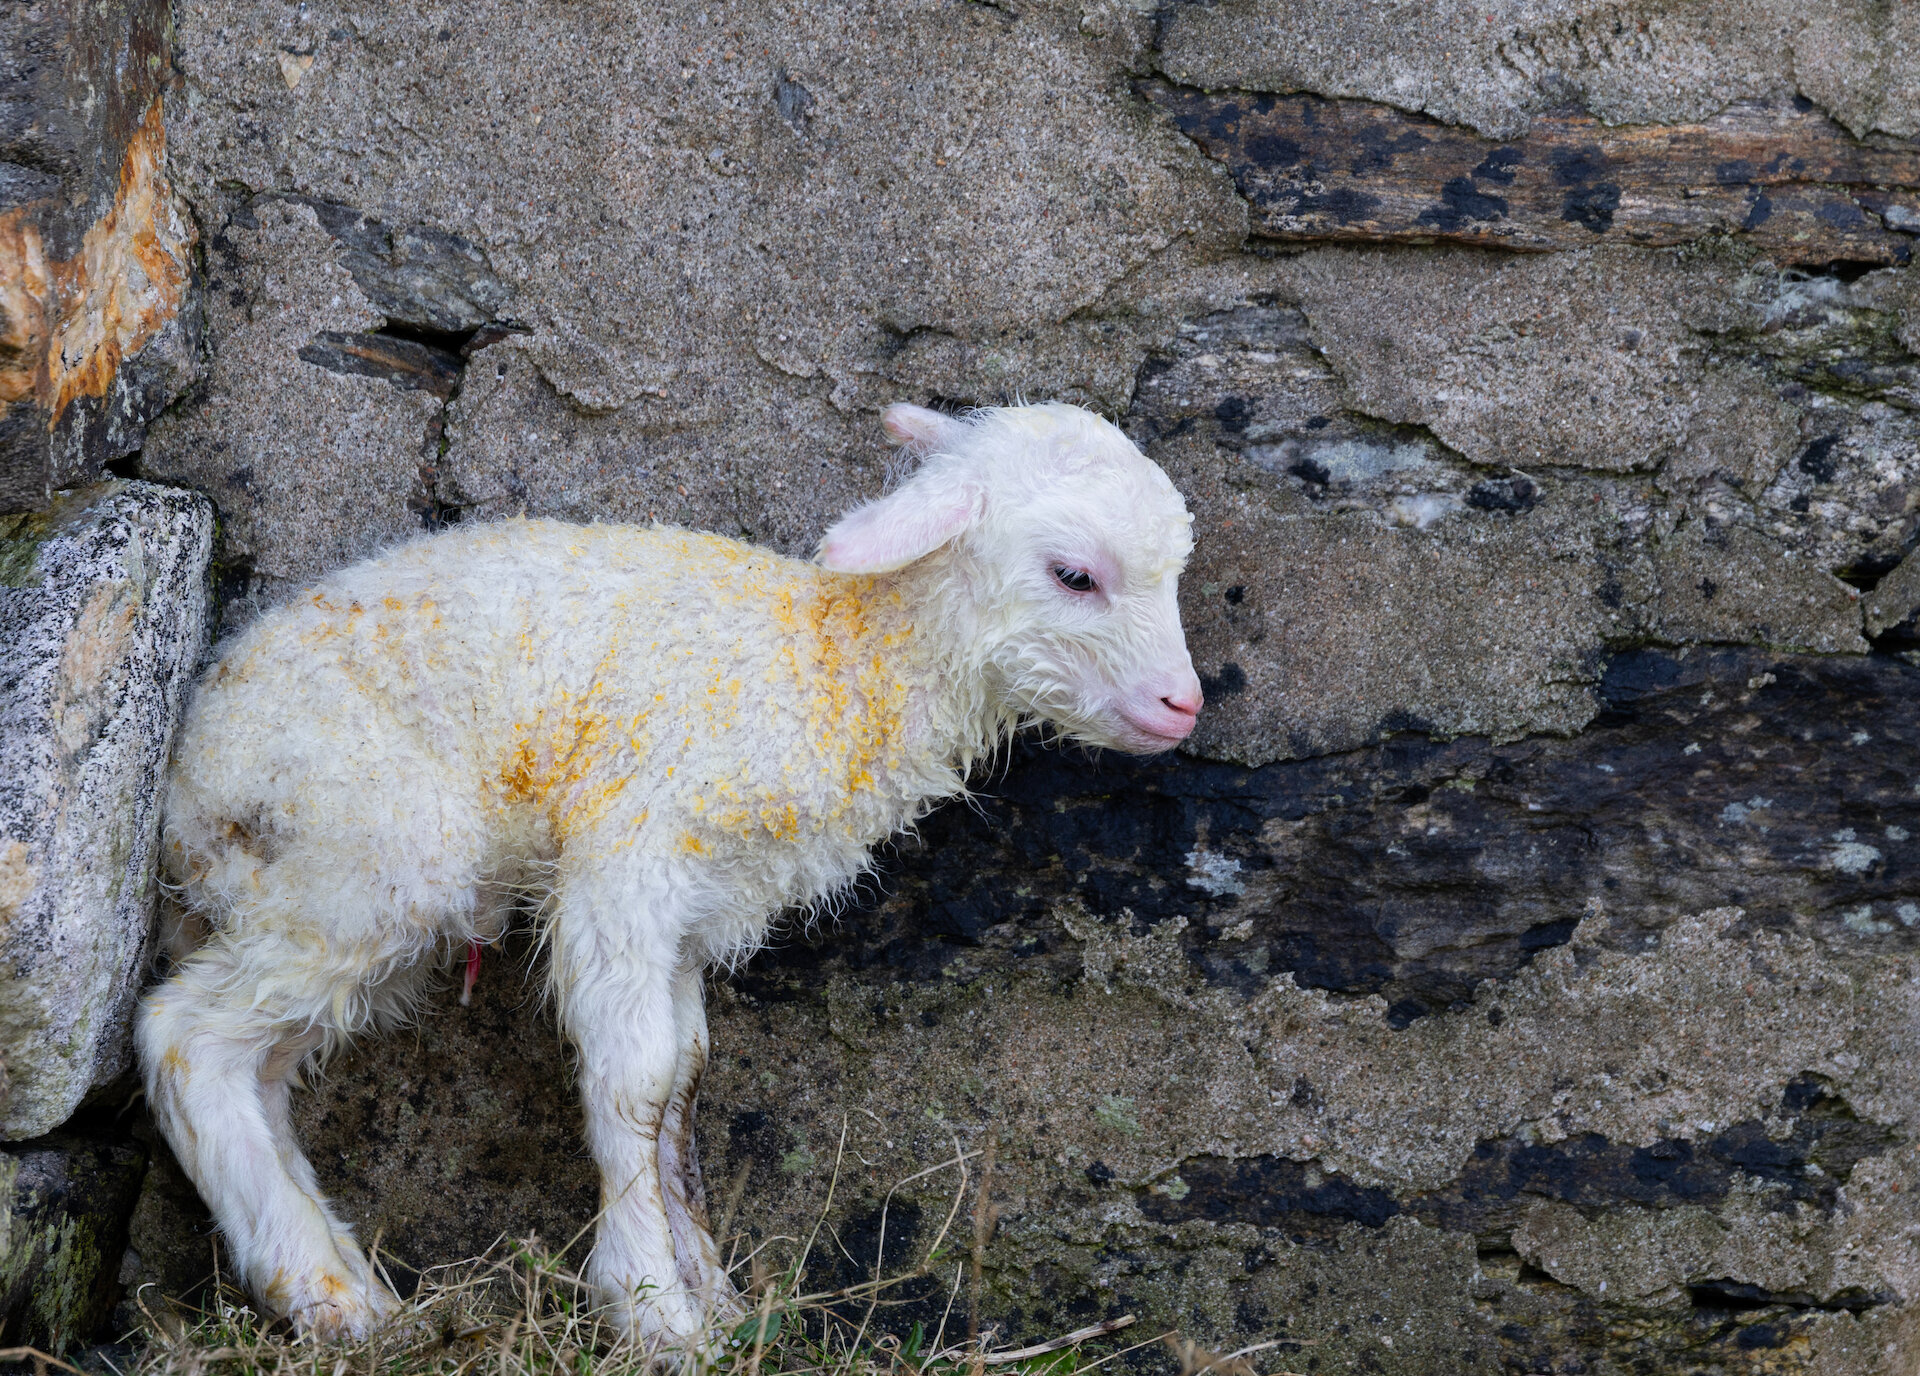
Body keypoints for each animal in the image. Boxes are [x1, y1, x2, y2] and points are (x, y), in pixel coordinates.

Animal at [137, 400, 1204, 1348]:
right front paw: (652, 1312)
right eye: (1075, 575)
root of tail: (188, 787)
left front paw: (714, 1301)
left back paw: (338, 1276)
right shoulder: (629, 860)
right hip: (367, 852)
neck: (840, 668)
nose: (1182, 705)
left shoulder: (697, 910)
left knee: (261, 1067)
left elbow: (683, 1085)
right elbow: (636, 1084)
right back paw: (327, 1299)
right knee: (184, 1038)